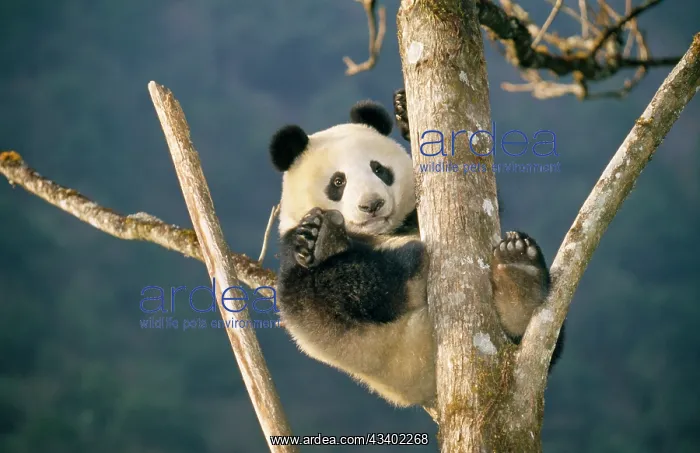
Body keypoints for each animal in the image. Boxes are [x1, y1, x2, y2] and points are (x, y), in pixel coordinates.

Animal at [268, 93, 564, 409]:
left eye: (379, 169)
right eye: (338, 182)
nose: (372, 205)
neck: (382, 232)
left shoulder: (410, 218)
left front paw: (405, 112)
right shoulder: (292, 255)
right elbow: (322, 289)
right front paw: (317, 237)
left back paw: (518, 277)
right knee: (346, 289)